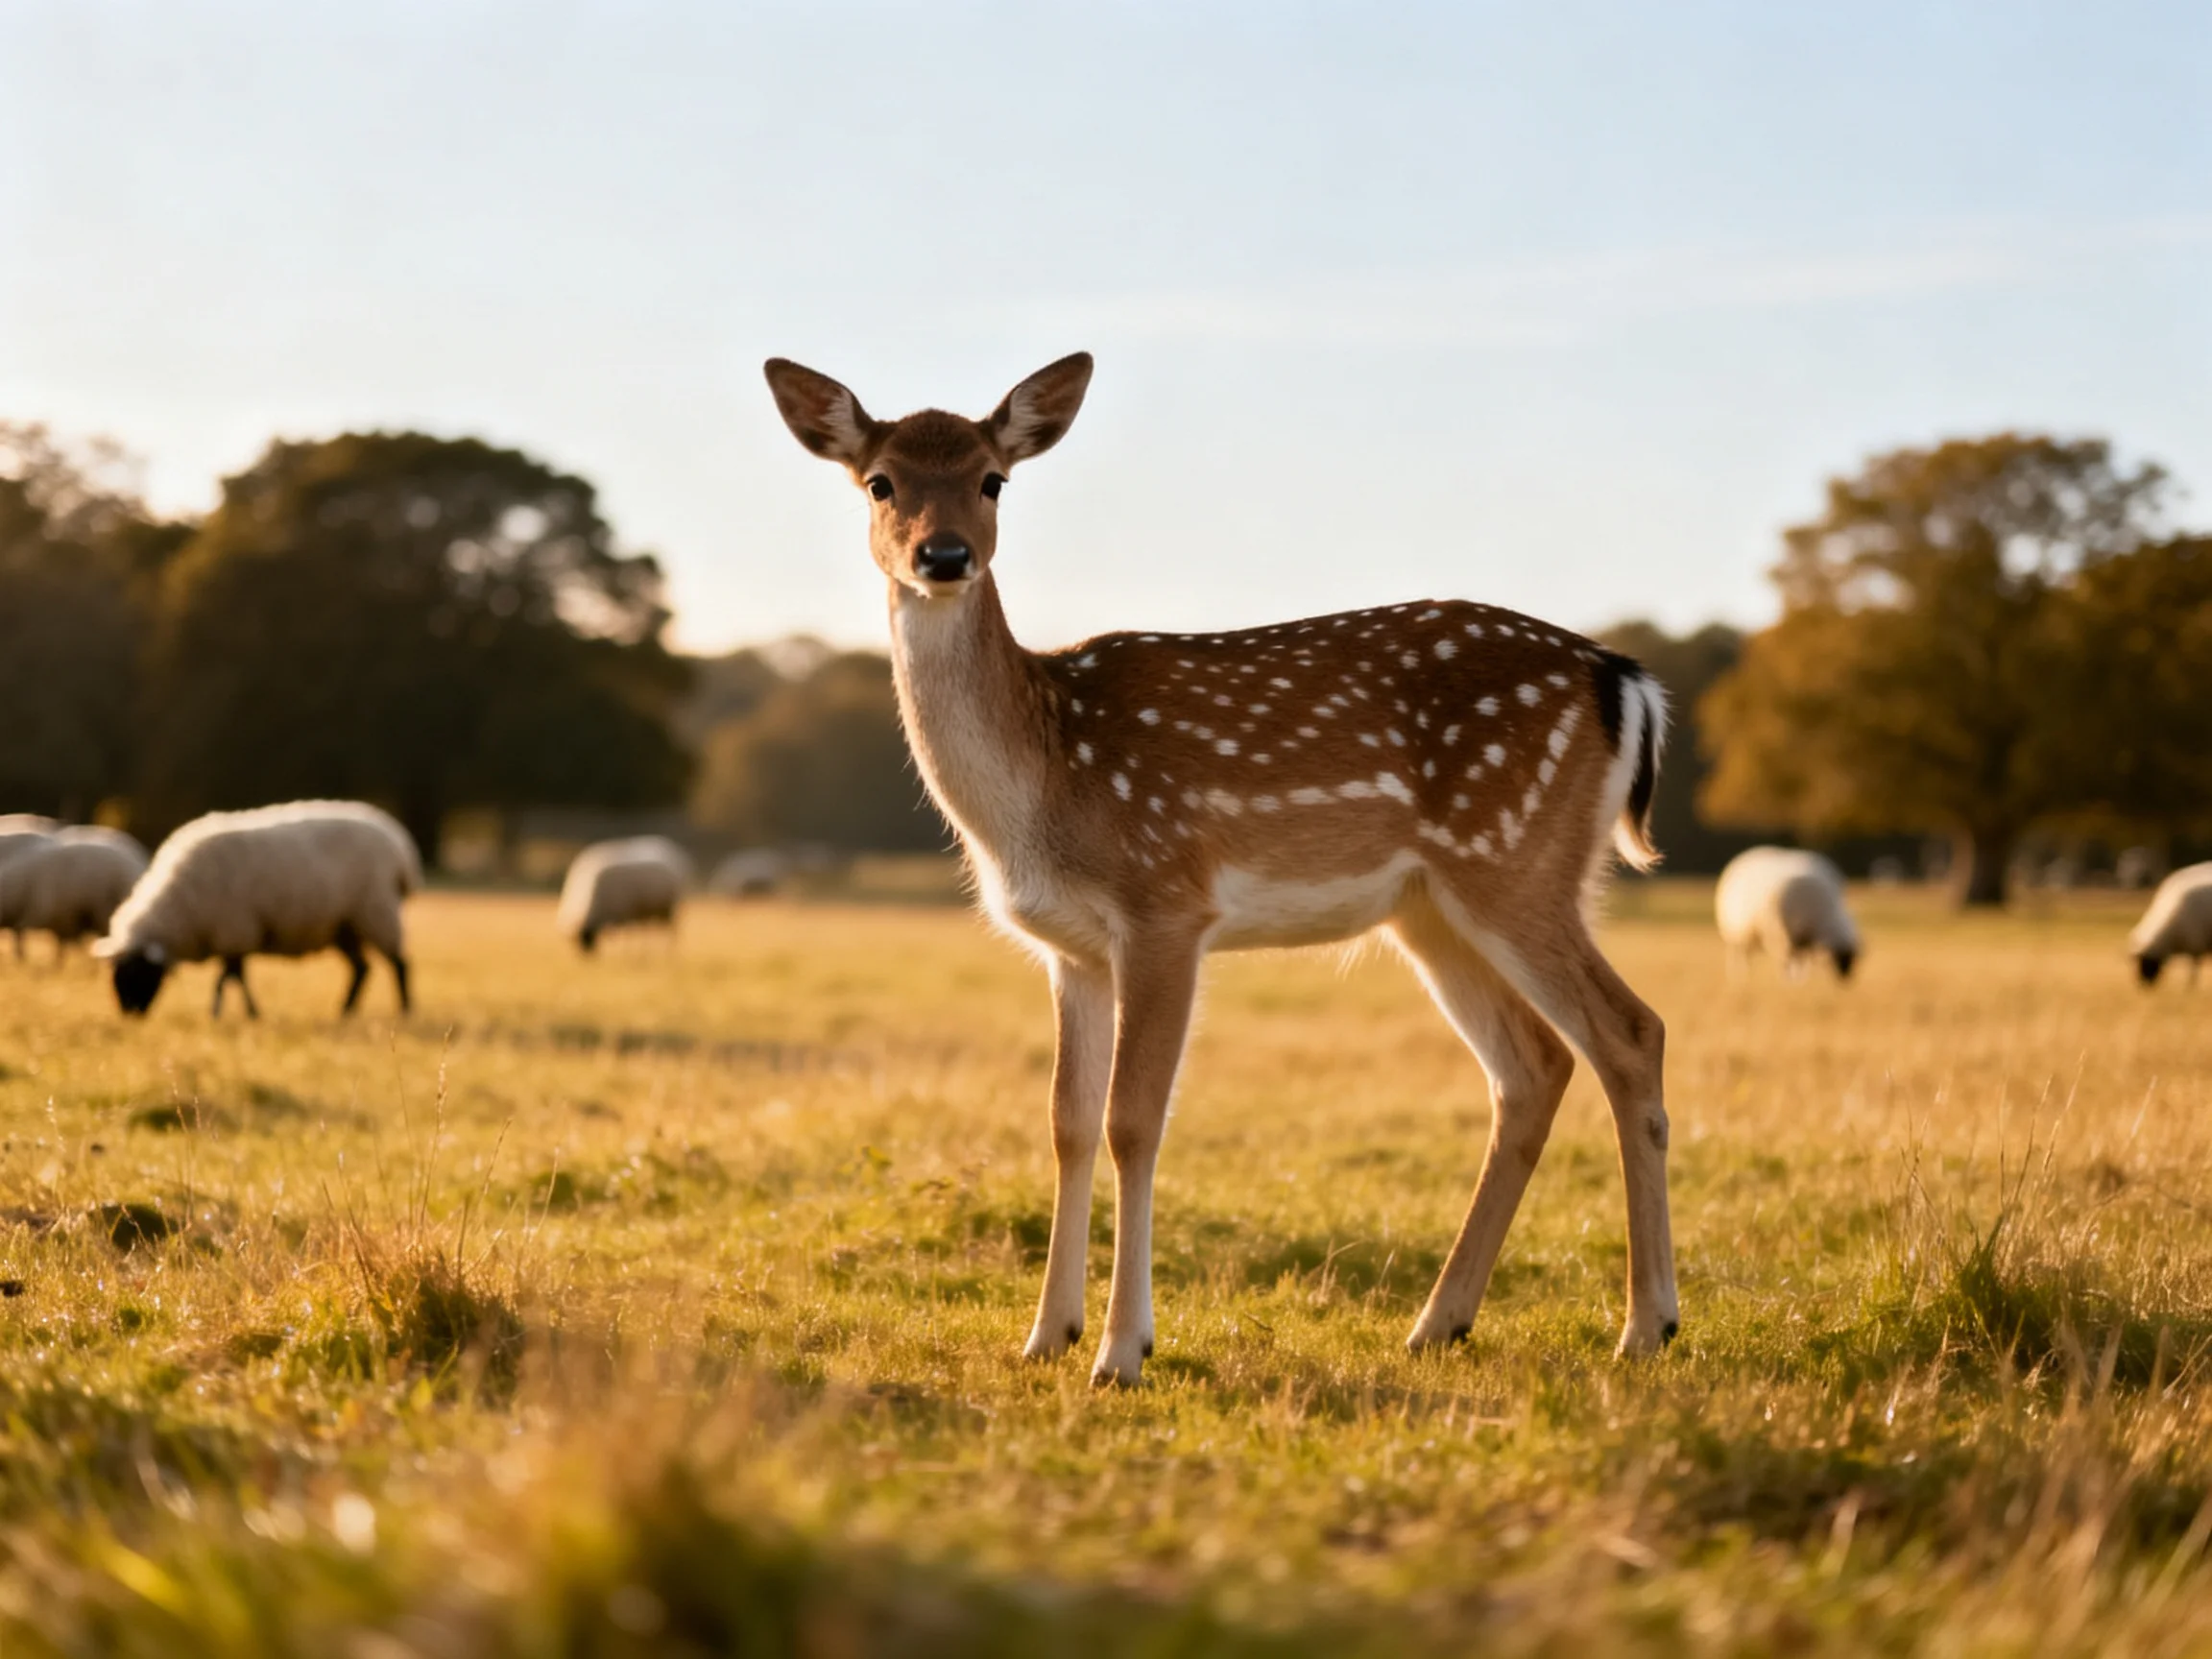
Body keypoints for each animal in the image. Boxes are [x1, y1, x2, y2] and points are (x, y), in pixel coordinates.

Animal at [95, 801, 421, 1017]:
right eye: (115, 977)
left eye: (136, 975)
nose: (129, 1015)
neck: (181, 905)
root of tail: (400, 847)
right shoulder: (235, 935)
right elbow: (235, 977)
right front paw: (243, 1012)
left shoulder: (235, 930)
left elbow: (230, 978)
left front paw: (227, 1012)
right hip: (344, 925)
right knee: (362, 968)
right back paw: (345, 1010)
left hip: (376, 909)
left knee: (399, 963)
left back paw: (404, 1010)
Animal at [557, 836, 693, 952]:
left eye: (586, 937)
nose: (589, 957)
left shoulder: (622, 912)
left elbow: (624, 935)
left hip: (668, 909)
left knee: (671, 931)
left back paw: (667, 951)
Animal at [764, 352, 1679, 1386]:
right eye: (880, 482)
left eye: (994, 479)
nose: (946, 556)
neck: (1044, 788)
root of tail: (1624, 681)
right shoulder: (1070, 948)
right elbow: (1065, 1120)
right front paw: (1045, 1336)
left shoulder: (1165, 903)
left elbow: (1132, 1119)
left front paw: (1122, 1350)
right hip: (1432, 909)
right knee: (1533, 1067)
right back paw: (1439, 1322)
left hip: (1518, 860)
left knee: (1630, 1033)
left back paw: (1646, 1325)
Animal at [1715, 846, 1860, 980]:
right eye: (1841, 956)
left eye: (1852, 957)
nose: (1846, 979)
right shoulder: (1783, 936)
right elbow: (1789, 960)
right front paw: (1790, 978)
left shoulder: (1801, 938)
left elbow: (1801, 960)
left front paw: (1800, 977)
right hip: (1735, 934)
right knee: (1739, 956)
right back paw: (1739, 974)